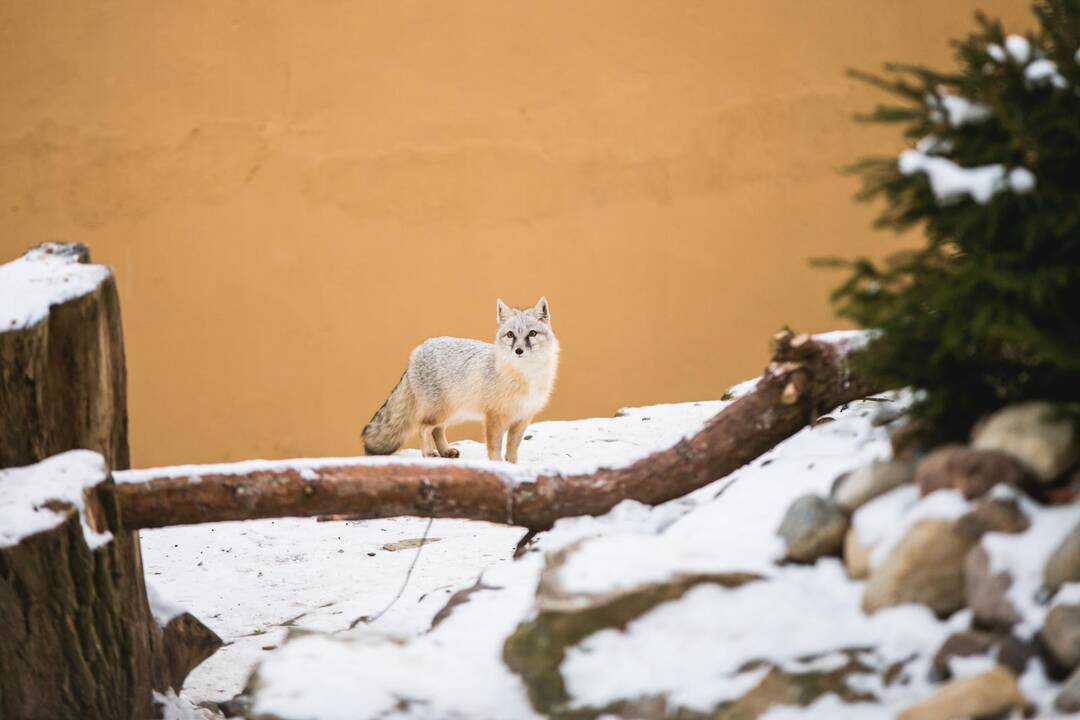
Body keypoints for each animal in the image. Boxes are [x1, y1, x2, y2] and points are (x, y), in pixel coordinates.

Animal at [365, 297, 561, 462]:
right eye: (511, 335)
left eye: (532, 334)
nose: (518, 350)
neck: (526, 376)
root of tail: (419, 348)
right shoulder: (494, 416)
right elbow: (495, 447)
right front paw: (498, 465)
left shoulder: (523, 417)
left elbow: (513, 448)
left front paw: (512, 465)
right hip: (441, 412)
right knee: (423, 427)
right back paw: (428, 453)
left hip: (453, 413)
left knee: (437, 430)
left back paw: (445, 451)